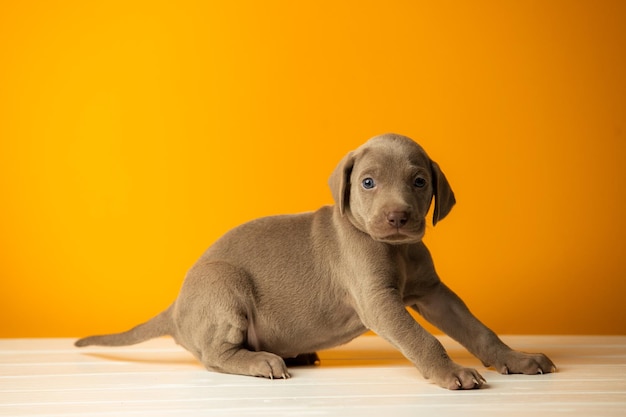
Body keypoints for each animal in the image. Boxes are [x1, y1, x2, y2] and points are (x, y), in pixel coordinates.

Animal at [75, 134, 552, 390]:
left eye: (419, 182)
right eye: (368, 182)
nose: (397, 217)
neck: (395, 247)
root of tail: (176, 309)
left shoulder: (435, 294)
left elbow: (478, 329)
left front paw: (517, 358)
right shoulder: (378, 301)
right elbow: (423, 339)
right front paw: (451, 371)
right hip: (222, 283)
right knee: (214, 354)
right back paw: (261, 361)